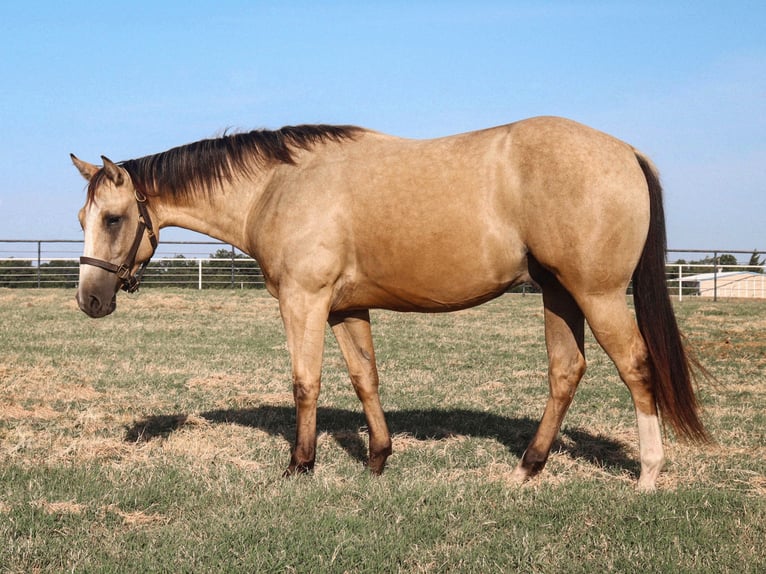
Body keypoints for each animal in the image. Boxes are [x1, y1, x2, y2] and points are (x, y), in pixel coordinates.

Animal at [72, 116, 708, 490]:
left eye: (114, 218)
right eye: (82, 218)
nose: (90, 300)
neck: (278, 186)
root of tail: (625, 151)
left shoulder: (304, 302)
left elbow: (305, 381)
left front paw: (300, 465)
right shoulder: (345, 308)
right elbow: (364, 378)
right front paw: (378, 457)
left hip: (597, 295)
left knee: (636, 367)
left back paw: (648, 476)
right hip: (559, 294)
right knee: (566, 372)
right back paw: (526, 468)